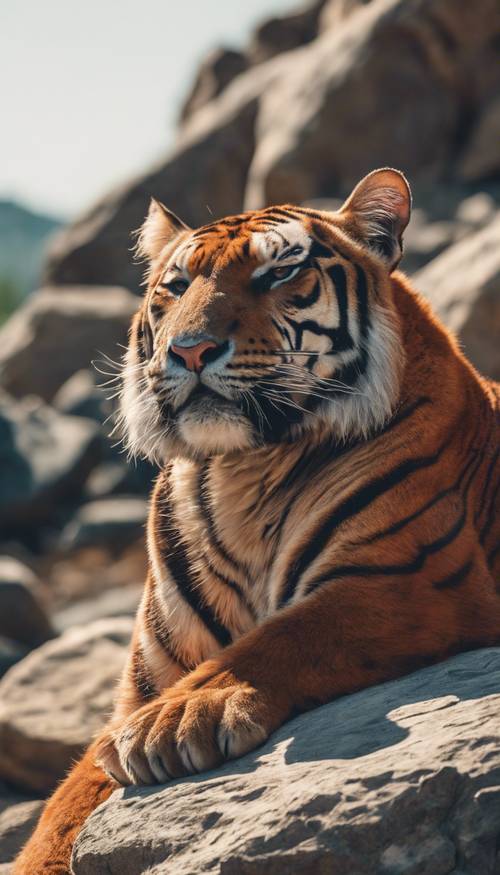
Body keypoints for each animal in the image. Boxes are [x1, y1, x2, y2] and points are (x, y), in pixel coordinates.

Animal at [14, 168, 500, 872]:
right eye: (176, 286)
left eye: (278, 274)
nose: (190, 351)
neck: (243, 470)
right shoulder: (138, 685)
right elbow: (59, 812)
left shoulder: (407, 581)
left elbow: (287, 635)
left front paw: (179, 720)